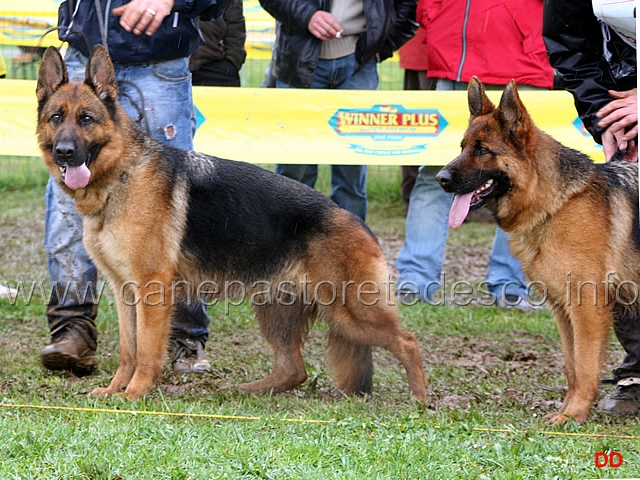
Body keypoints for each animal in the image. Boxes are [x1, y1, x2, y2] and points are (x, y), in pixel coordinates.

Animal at [33, 47, 424, 404]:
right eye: (56, 117)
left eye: (86, 119)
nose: (64, 151)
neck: (121, 175)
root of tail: (357, 223)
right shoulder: (124, 291)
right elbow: (128, 349)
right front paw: (116, 389)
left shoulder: (151, 289)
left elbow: (145, 350)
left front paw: (136, 393)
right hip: (277, 310)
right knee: (293, 369)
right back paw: (248, 391)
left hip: (351, 312)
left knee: (408, 341)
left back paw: (421, 398)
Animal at [438, 78, 636, 424]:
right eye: (462, 147)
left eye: (482, 150)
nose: (440, 178)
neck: (555, 204)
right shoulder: (563, 310)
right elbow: (572, 366)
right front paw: (567, 410)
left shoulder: (588, 309)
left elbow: (586, 366)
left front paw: (574, 416)